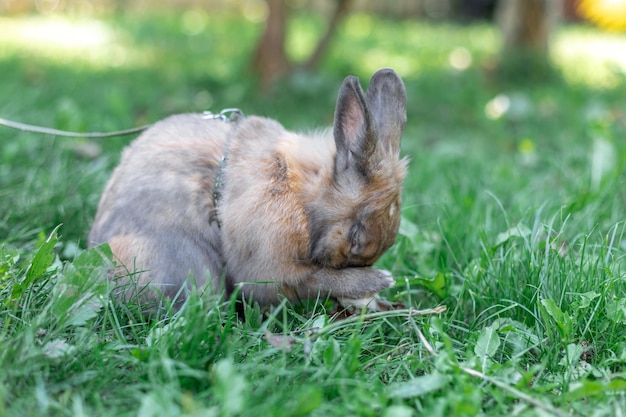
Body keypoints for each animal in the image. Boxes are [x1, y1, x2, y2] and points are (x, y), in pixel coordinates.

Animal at [90, 67, 408, 308]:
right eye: (355, 237)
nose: (364, 269)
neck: (299, 194)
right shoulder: (271, 265)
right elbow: (310, 280)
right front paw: (376, 282)